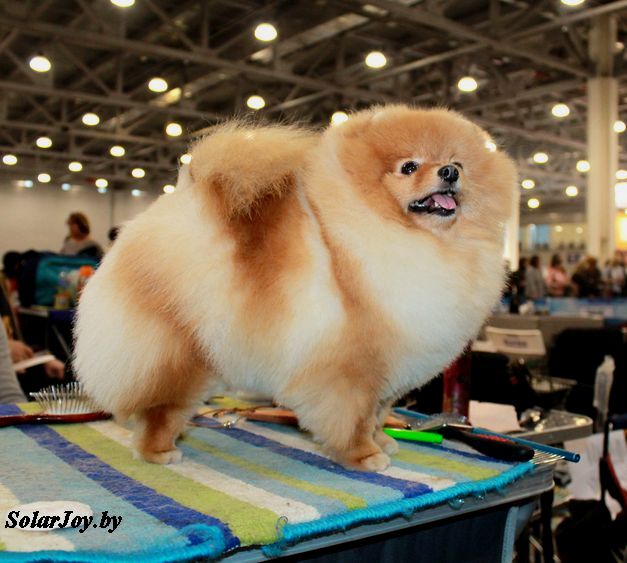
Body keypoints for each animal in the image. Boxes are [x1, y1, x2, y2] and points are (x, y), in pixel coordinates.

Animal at [74, 105, 516, 471]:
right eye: (409, 167)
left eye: (457, 163)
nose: (449, 173)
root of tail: (181, 199)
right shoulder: (354, 367)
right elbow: (353, 417)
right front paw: (365, 456)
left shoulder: (391, 370)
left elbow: (376, 414)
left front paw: (384, 441)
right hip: (179, 351)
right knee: (159, 408)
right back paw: (159, 450)